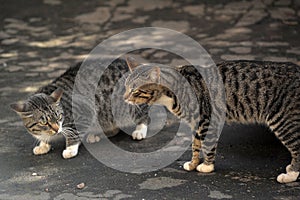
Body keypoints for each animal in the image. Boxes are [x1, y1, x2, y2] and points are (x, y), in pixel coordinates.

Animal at [10, 58, 149, 159]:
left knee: (145, 117)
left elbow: (74, 133)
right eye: (44, 122)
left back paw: (140, 130)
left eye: (58, 116)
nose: (57, 129)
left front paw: (70, 149)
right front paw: (43, 144)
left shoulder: (84, 112)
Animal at [123, 57, 298, 183]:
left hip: (282, 120)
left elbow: (207, 145)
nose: (124, 98)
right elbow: (195, 145)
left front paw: (207, 166)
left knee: (297, 147)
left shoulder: (207, 120)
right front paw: (193, 164)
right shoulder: (196, 123)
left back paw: (291, 175)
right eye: (125, 86)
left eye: (135, 90)